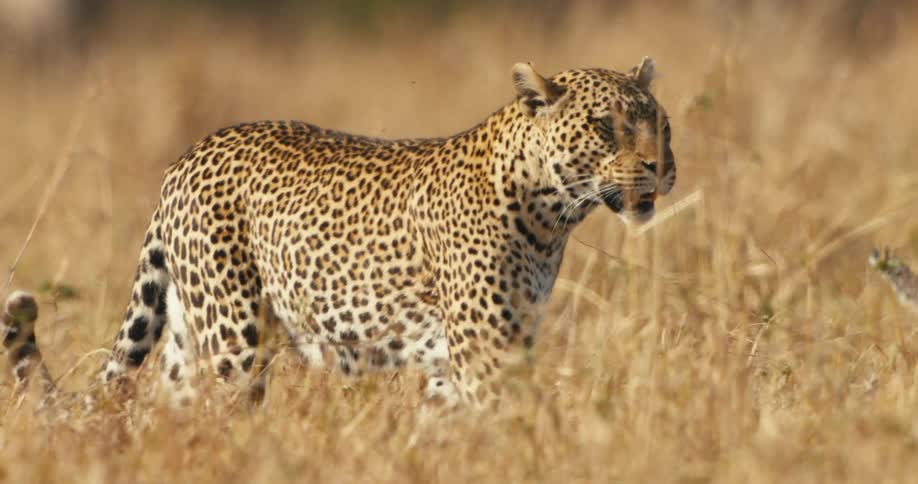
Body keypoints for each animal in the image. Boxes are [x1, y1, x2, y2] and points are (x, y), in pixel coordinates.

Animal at [8, 58, 676, 408]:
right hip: (234, 337)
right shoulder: (484, 352)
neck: (550, 213)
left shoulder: (469, 357)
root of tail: (188, 155)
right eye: (605, 126)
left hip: (186, 330)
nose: (661, 168)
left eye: (661, 125)